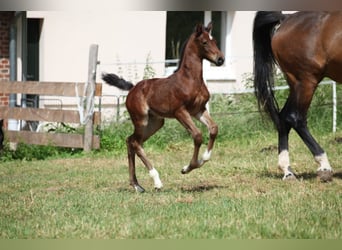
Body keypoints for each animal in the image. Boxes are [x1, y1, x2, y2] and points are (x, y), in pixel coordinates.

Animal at [101, 22, 224, 193]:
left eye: (215, 41)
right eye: (204, 42)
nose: (220, 59)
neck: (190, 80)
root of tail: (132, 89)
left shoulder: (198, 110)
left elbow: (213, 128)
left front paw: (202, 160)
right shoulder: (180, 112)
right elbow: (197, 135)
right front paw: (187, 168)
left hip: (156, 122)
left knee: (130, 140)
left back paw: (137, 185)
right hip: (141, 120)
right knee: (135, 143)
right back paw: (156, 181)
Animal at [252, 11, 340, 182]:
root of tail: (287, 19)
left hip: (297, 84)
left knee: (283, 118)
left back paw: (287, 171)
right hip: (306, 80)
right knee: (295, 117)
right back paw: (324, 166)